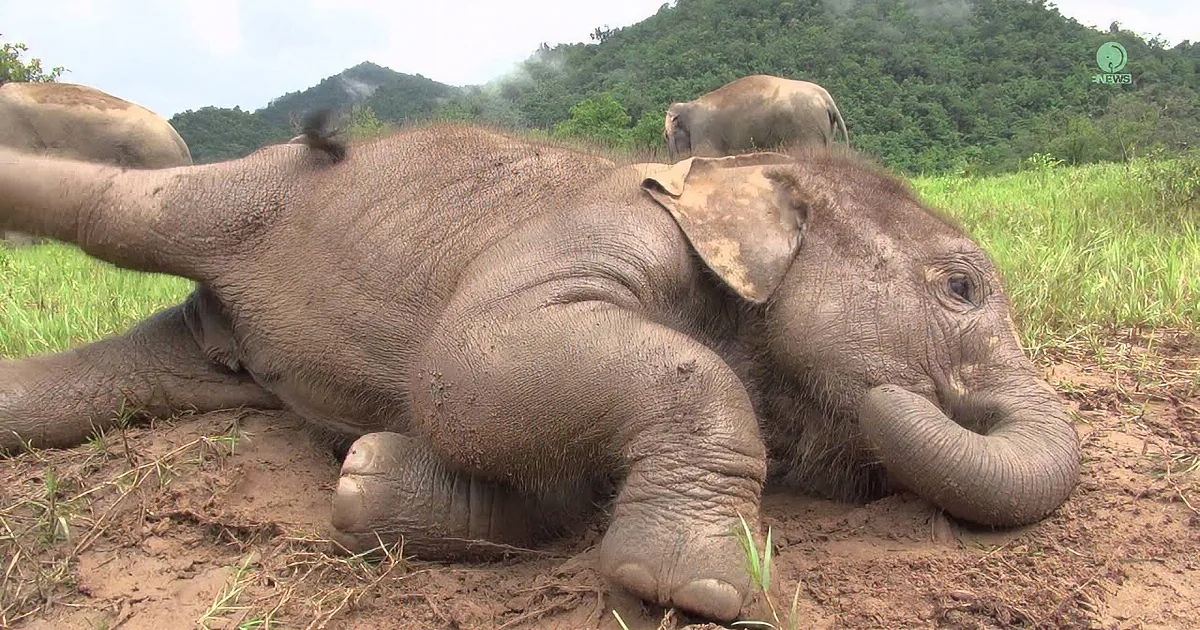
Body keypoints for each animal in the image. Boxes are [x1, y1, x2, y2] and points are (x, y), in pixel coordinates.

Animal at [0, 111, 1080, 624]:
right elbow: (468, 367)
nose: (892, 397)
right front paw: (696, 593)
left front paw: (368, 480)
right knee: (126, 212)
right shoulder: (609, 229)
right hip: (252, 192)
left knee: (125, 375)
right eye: (961, 288)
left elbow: (536, 471)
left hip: (217, 341)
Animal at [664, 74, 850, 161]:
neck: (688, 105)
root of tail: (827, 99)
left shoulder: (703, 131)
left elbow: (706, 156)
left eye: (666, 136)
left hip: (807, 125)